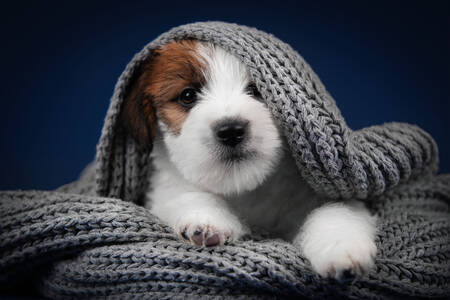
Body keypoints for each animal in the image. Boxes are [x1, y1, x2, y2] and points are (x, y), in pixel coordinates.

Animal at [121, 39, 378, 278]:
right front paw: (206, 219)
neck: (244, 190)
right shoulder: (165, 189)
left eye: (259, 90)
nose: (231, 131)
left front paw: (340, 246)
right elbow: (184, 195)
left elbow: (336, 208)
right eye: (187, 95)